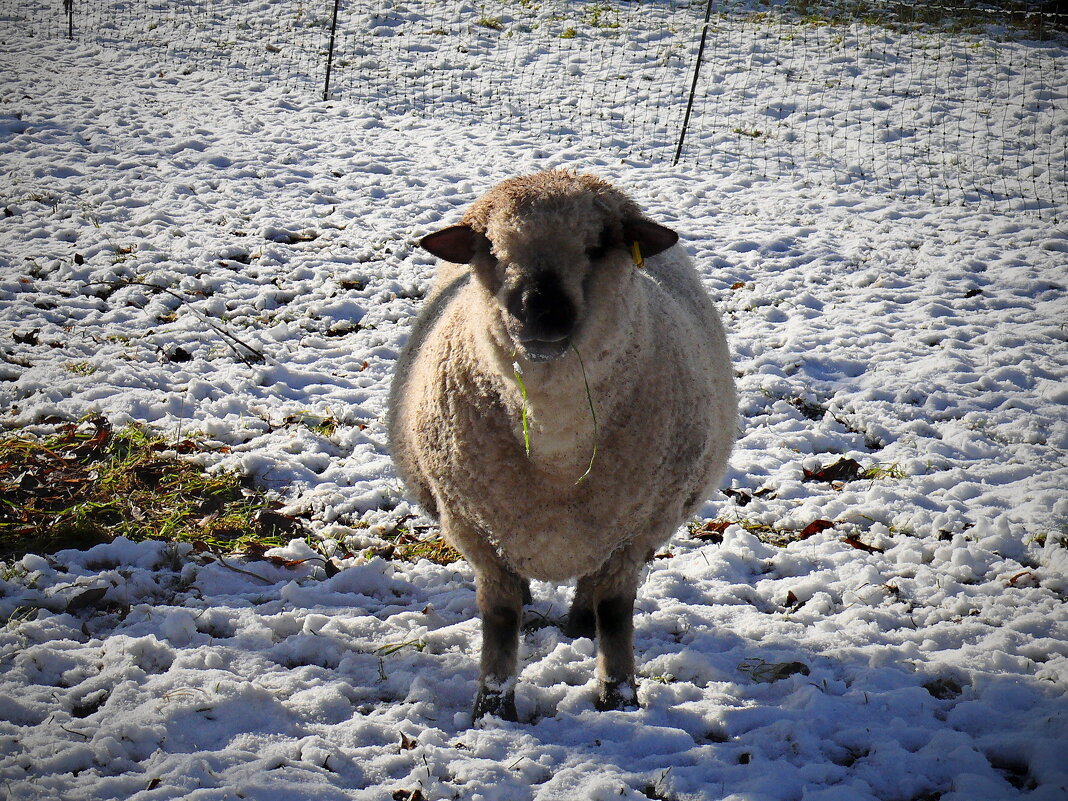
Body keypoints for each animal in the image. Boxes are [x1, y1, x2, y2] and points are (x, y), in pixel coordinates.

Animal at [388, 169, 739, 721]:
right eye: (489, 247)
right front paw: (493, 707)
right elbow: (499, 616)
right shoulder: (474, 527)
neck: (556, 443)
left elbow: (615, 613)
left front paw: (618, 697)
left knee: (592, 587)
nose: (540, 310)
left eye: (598, 246)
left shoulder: (636, 529)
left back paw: (579, 623)